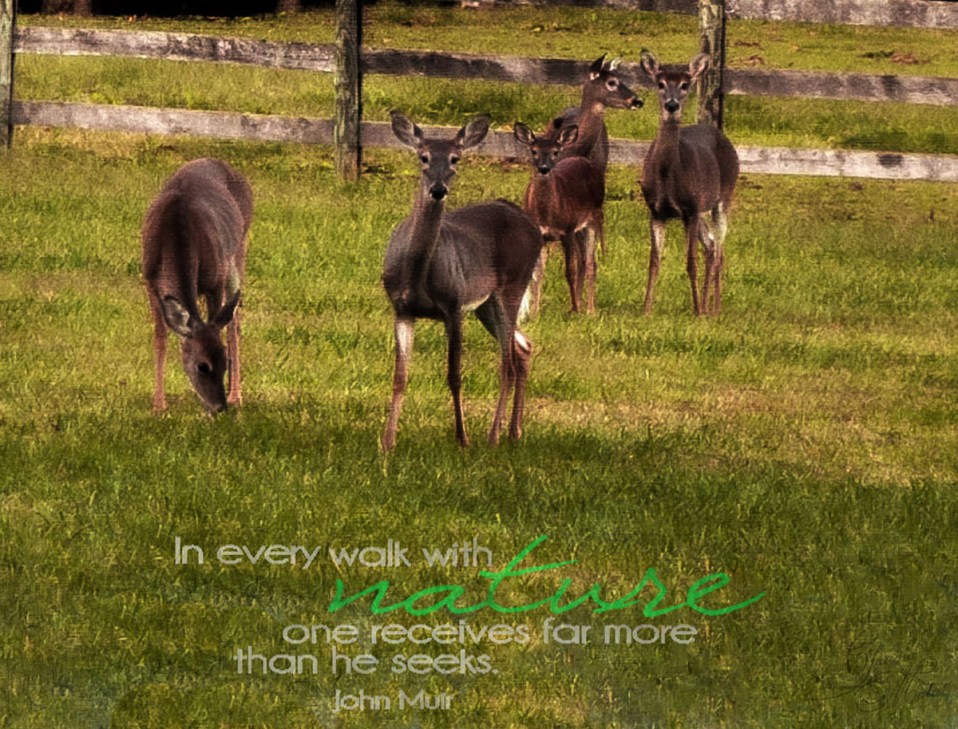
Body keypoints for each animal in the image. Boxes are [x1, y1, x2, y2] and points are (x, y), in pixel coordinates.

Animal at [141, 158, 253, 414]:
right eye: (202, 366)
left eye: (224, 362)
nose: (219, 407)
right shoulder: (150, 281)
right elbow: (160, 336)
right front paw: (159, 405)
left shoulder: (216, 282)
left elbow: (220, 326)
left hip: (238, 251)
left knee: (235, 321)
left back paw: (236, 395)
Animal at [381, 111, 544, 452]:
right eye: (424, 157)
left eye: (455, 158)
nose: (438, 189)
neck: (416, 272)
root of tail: (530, 224)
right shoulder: (401, 309)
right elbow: (400, 376)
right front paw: (387, 442)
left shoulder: (454, 306)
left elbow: (454, 375)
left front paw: (462, 438)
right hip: (486, 305)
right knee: (522, 348)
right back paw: (514, 431)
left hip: (512, 285)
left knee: (507, 362)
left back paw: (493, 435)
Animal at [513, 122, 604, 315]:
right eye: (534, 150)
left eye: (555, 151)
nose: (544, 168)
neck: (546, 215)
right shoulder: (541, 235)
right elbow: (538, 273)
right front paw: (535, 312)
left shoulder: (567, 230)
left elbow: (569, 271)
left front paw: (575, 309)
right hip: (579, 229)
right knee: (583, 261)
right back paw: (580, 304)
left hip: (593, 219)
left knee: (591, 263)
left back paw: (589, 310)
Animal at [638, 50, 739, 316]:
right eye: (660, 83)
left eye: (685, 84)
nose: (672, 105)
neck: (667, 176)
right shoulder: (656, 210)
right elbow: (654, 261)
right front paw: (646, 309)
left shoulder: (691, 209)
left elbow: (690, 261)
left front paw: (695, 311)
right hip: (701, 210)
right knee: (711, 246)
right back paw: (706, 305)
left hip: (723, 197)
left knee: (719, 250)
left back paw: (712, 309)